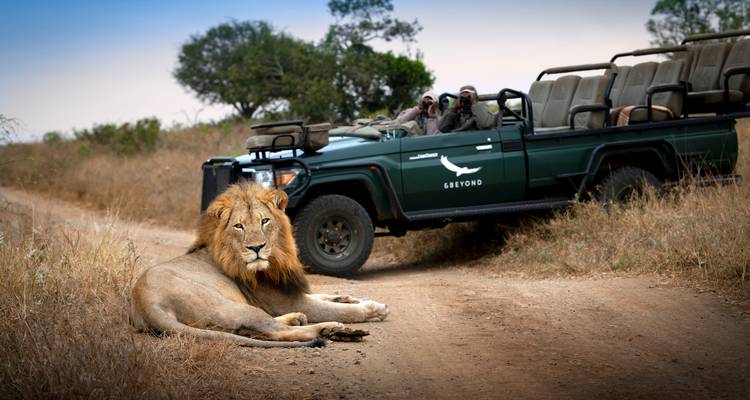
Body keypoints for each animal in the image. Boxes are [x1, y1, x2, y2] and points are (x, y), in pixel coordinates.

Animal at [130, 182, 389, 348]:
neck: (277, 258)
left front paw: (346, 296)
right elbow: (341, 310)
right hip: (231, 306)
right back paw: (331, 329)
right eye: (239, 226)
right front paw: (374, 308)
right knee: (277, 332)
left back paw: (299, 319)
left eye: (265, 221)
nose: (256, 248)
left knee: (260, 329)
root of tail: (145, 304)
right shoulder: (287, 300)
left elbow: (325, 295)